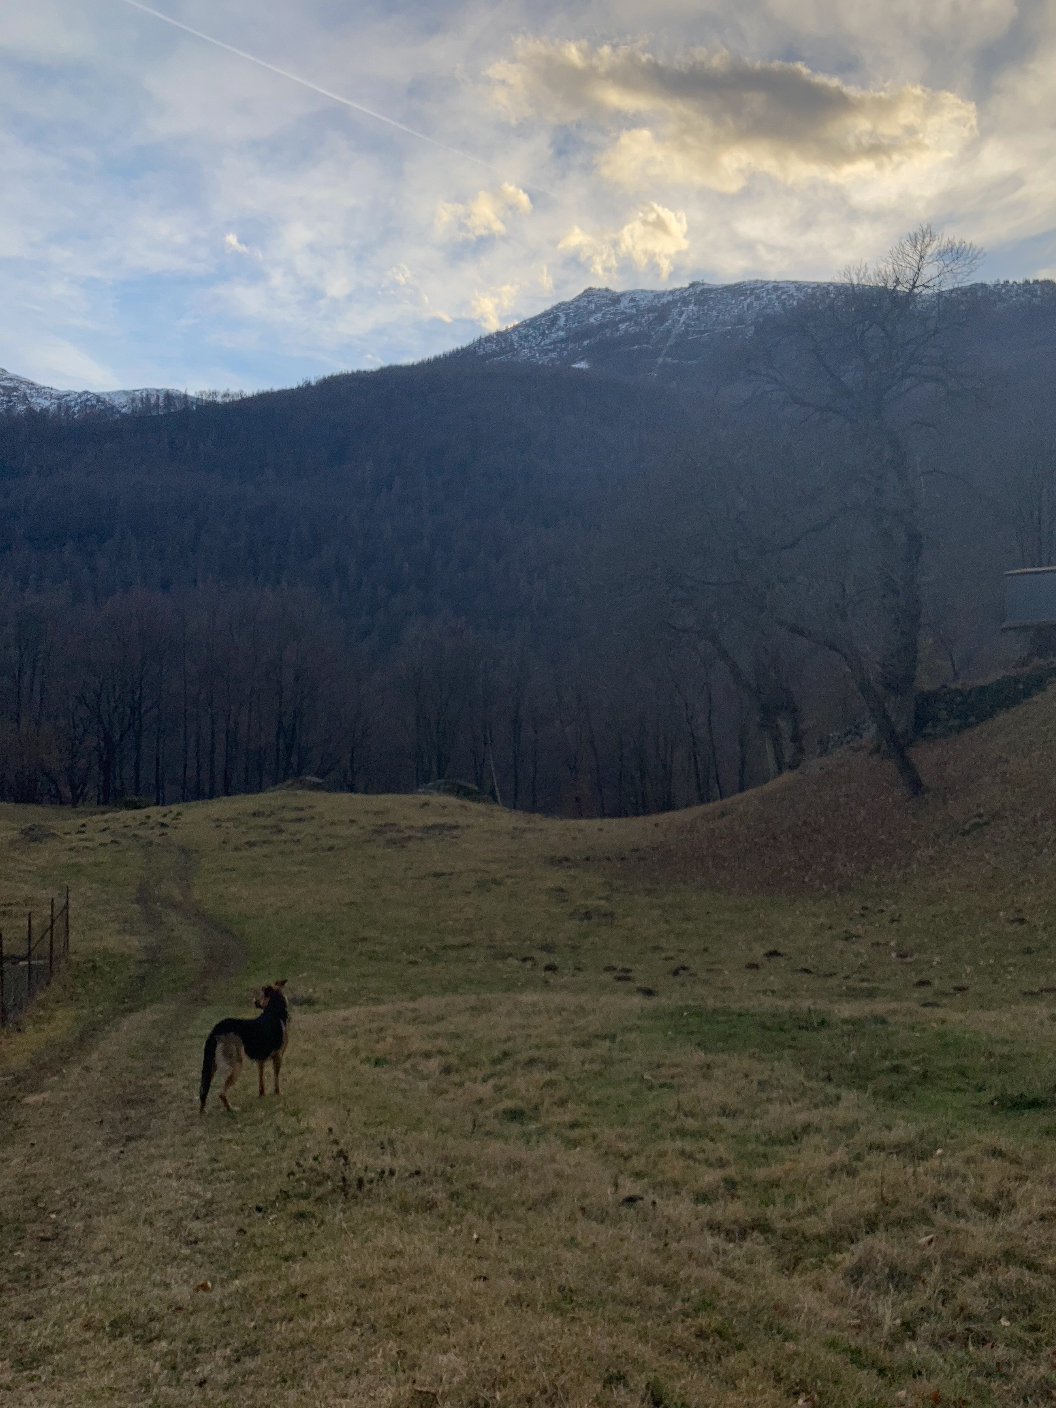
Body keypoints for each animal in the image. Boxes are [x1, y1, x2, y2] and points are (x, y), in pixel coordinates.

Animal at [197, 979, 290, 1109]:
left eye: (260, 994)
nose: (254, 1001)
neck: (274, 1009)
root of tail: (217, 1029)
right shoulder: (278, 1057)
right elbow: (276, 1079)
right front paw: (278, 1093)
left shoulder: (260, 1060)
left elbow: (261, 1079)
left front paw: (262, 1094)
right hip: (236, 1065)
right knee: (221, 1093)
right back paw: (231, 1109)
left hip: (210, 1067)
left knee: (203, 1091)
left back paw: (203, 1111)